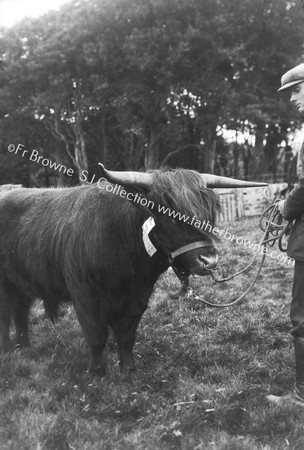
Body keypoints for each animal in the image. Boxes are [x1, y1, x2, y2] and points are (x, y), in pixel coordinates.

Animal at [0, 167, 266, 374]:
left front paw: (128, 369)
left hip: (19, 284)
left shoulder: (139, 296)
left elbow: (127, 334)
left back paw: (23, 345)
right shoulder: (85, 297)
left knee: (20, 313)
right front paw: (97, 372)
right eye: (170, 215)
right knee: (7, 315)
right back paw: (7, 348)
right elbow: (96, 336)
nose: (209, 260)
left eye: (207, 216)